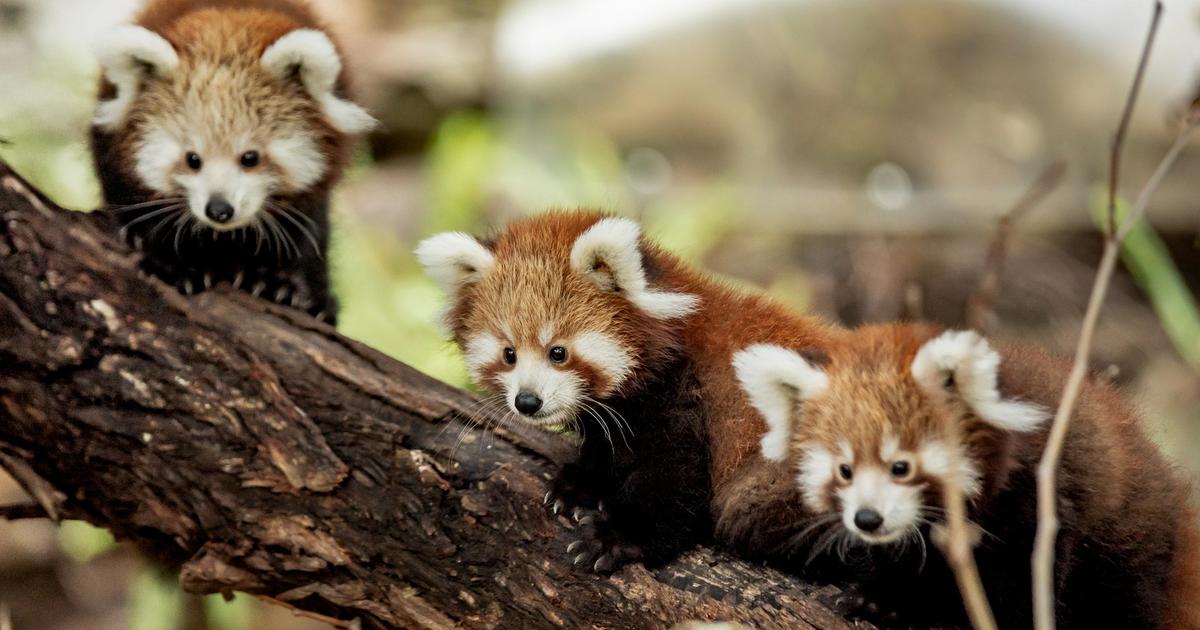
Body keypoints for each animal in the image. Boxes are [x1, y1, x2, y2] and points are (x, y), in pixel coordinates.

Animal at [90, 0, 374, 321]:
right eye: (192, 159)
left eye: (250, 157)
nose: (219, 210)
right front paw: (174, 262)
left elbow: (304, 230)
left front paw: (272, 280)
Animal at [417, 210, 840, 568]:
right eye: (509, 354)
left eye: (558, 352)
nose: (528, 401)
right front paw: (580, 484)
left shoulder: (684, 396)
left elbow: (674, 481)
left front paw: (615, 538)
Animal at [729, 321, 1200, 624]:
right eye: (844, 470)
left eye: (901, 466)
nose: (867, 519)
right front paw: (883, 599)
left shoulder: (1033, 501)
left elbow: (1023, 580)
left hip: (1127, 545)